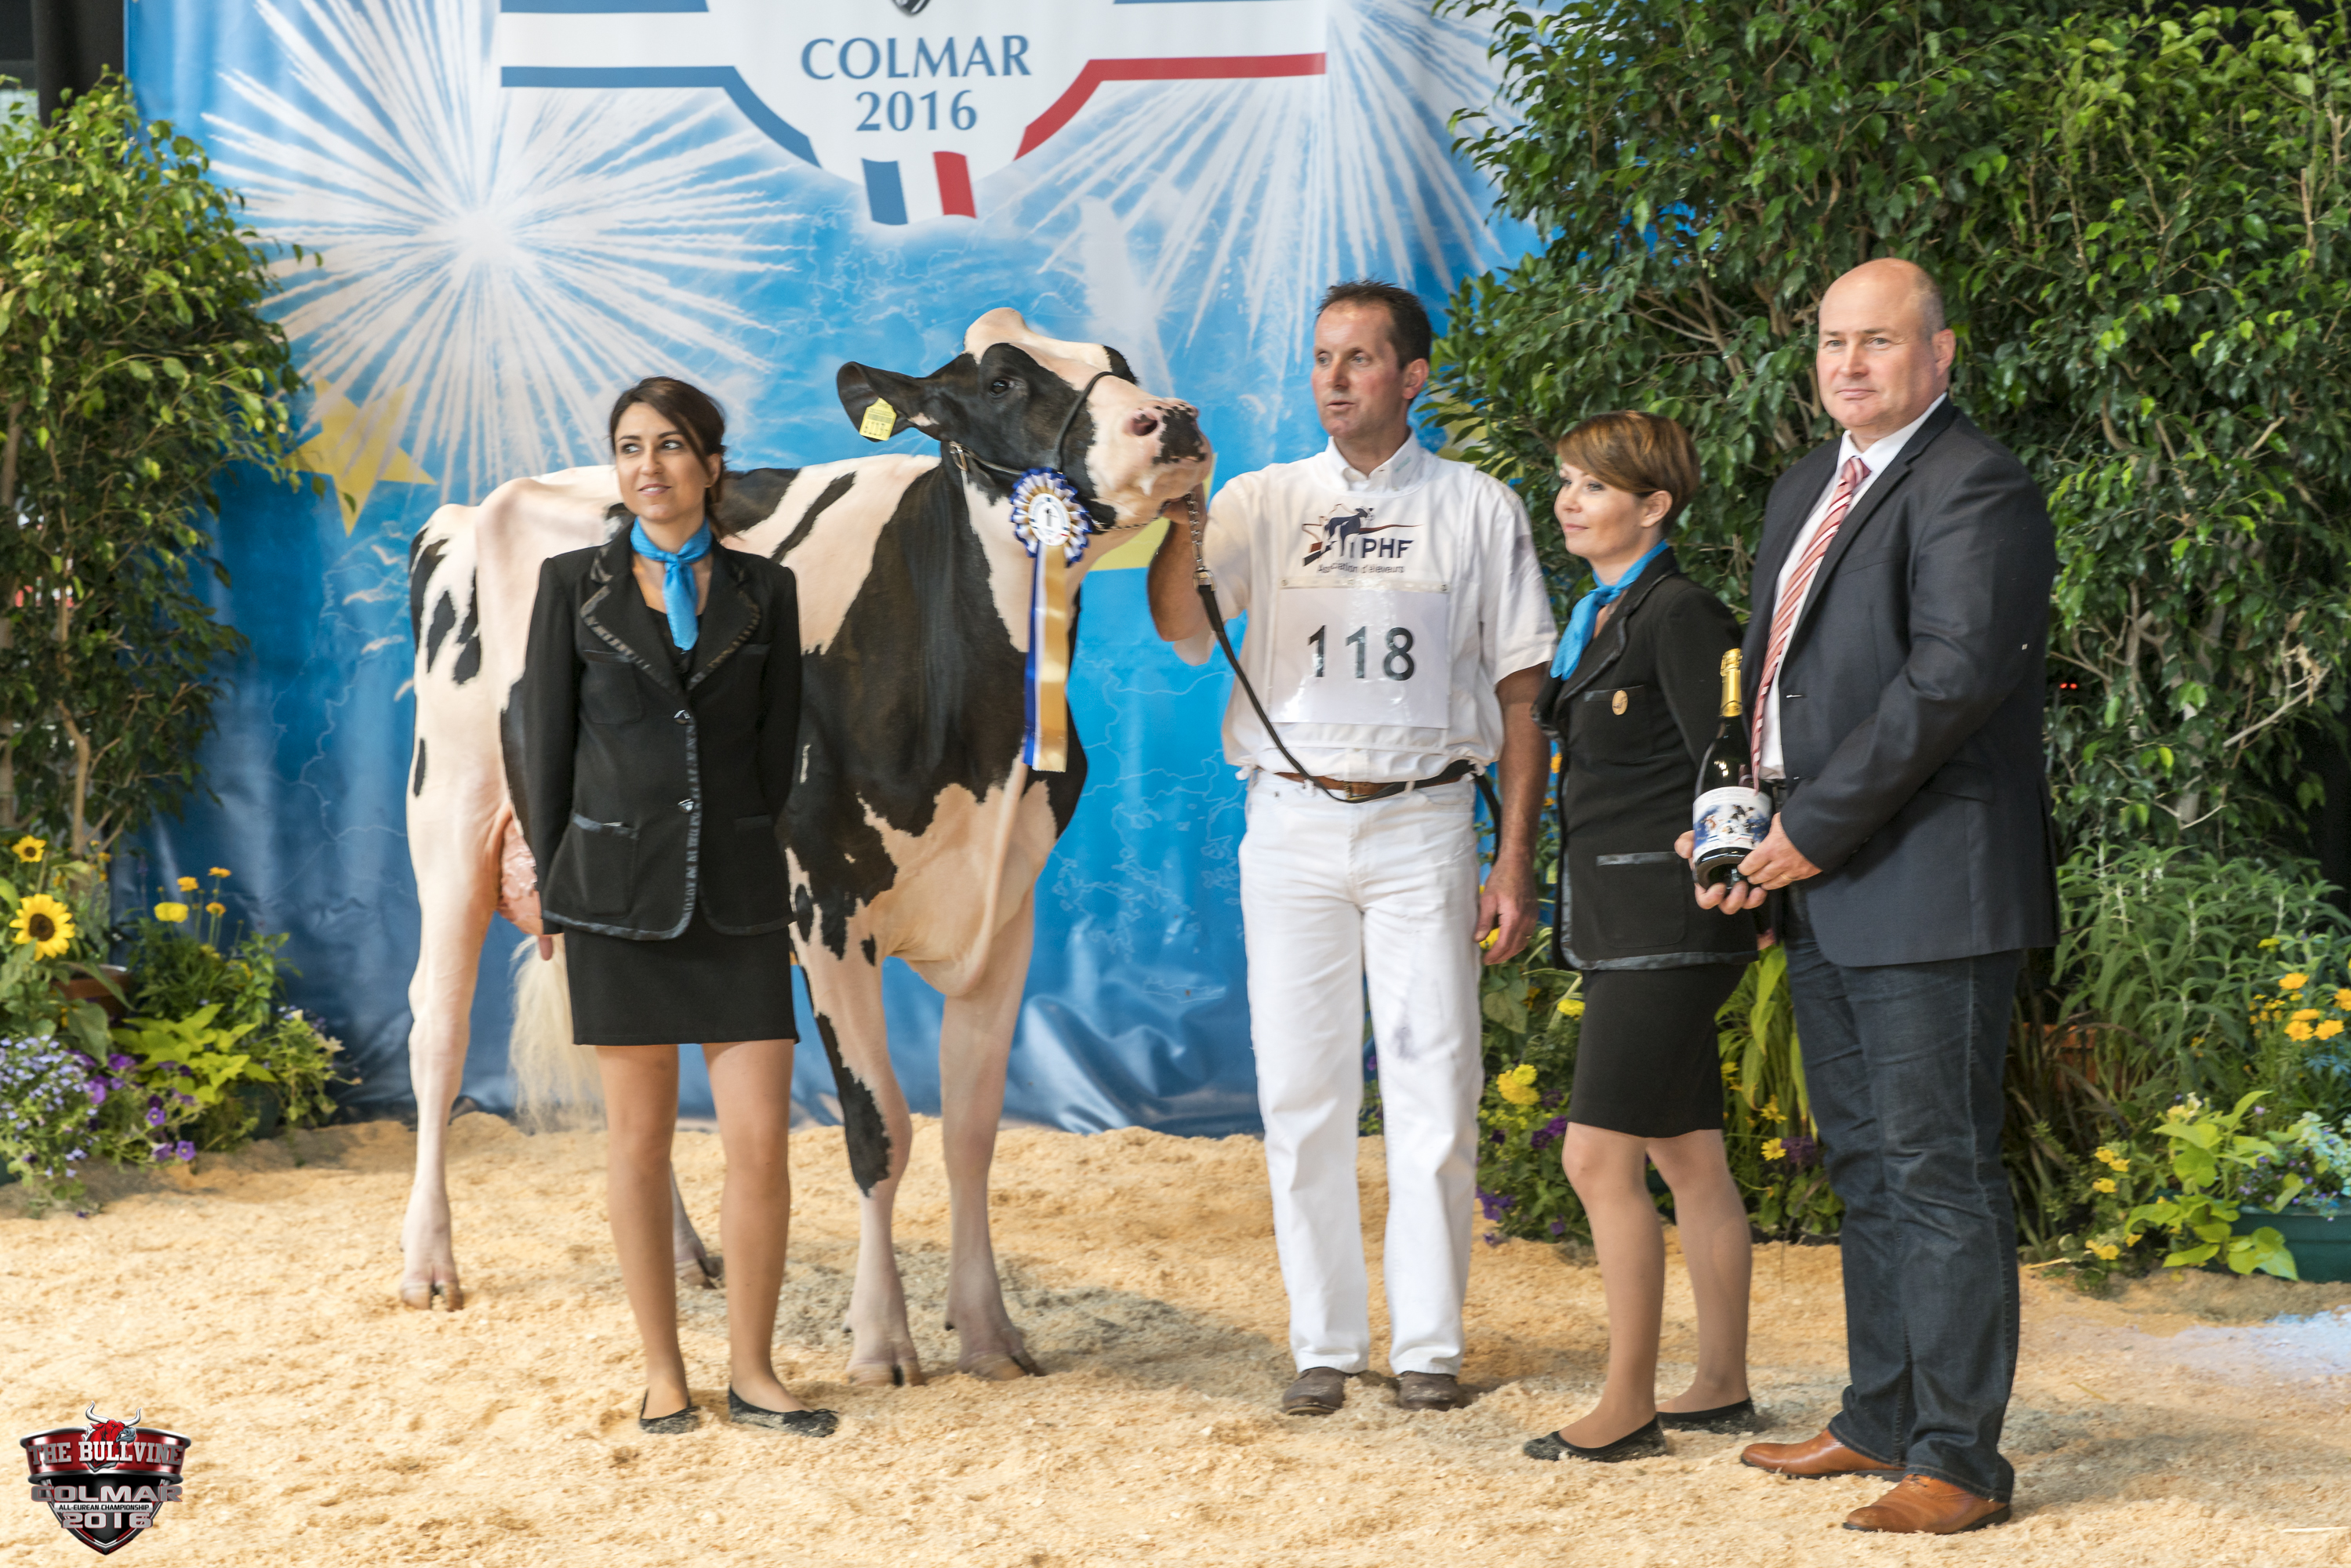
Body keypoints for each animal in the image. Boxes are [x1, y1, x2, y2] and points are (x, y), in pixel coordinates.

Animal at [398, 310, 1210, 1385]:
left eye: (1116, 365)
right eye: (1001, 380)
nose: (1174, 418)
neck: (977, 724)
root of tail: (474, 503)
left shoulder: (1008, 909)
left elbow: (972, 1131)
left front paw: (988, 1329)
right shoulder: (822, 905)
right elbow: (880, 1126)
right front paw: (882, 1338)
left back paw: (682, 1250)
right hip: (447, 812)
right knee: (437, 1032)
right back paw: (428, 1263)